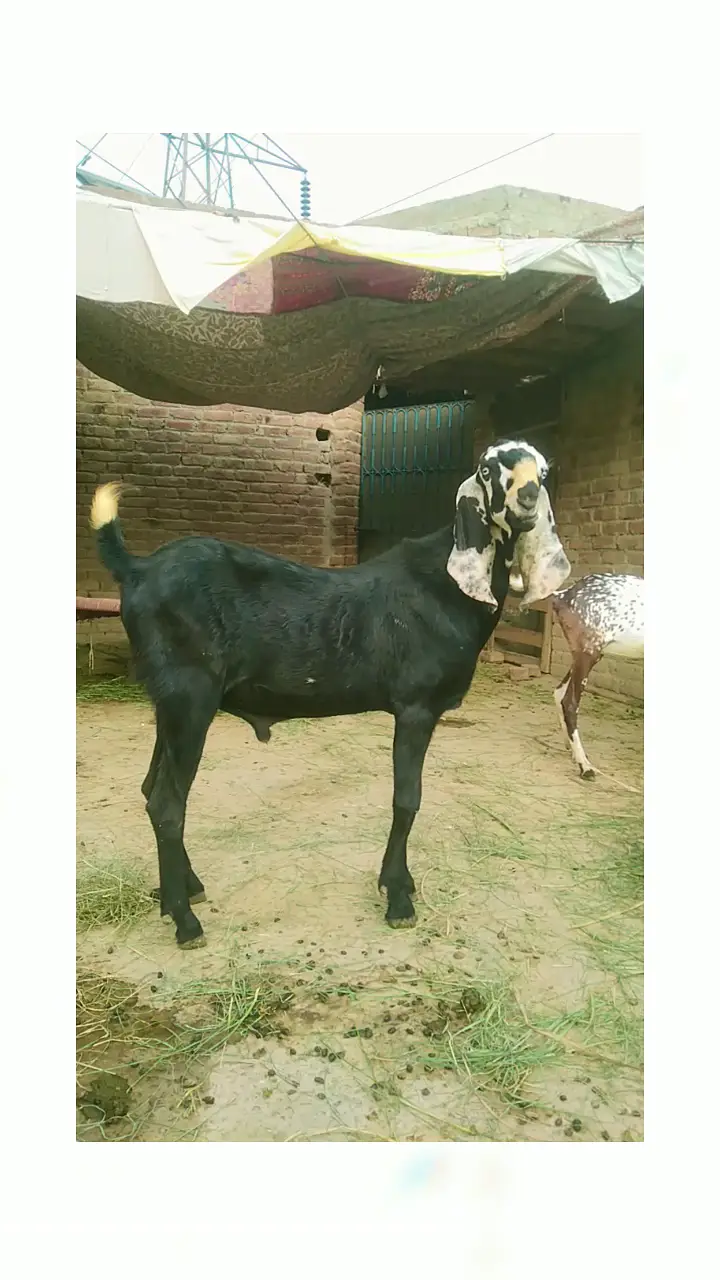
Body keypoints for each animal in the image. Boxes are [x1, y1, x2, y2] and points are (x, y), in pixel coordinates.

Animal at [90, 439, 571, 948]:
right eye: (486, 468)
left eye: (543, 471)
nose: (527, 498)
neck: (444, 587)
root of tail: (137, 569)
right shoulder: (416, 708)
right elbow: (407, 799)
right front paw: (398, 898)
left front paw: (400, 883)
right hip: (190, 696)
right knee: (167, 803)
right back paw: (185, 921)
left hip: (168, 702)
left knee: (151, 790)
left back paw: (180, 892)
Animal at [550, 574, 644, 778]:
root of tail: (562, 595)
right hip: (589, 651)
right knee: (569, 702)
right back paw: (585, 767)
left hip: (586, 653)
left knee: (559, 692)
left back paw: (573, 752)